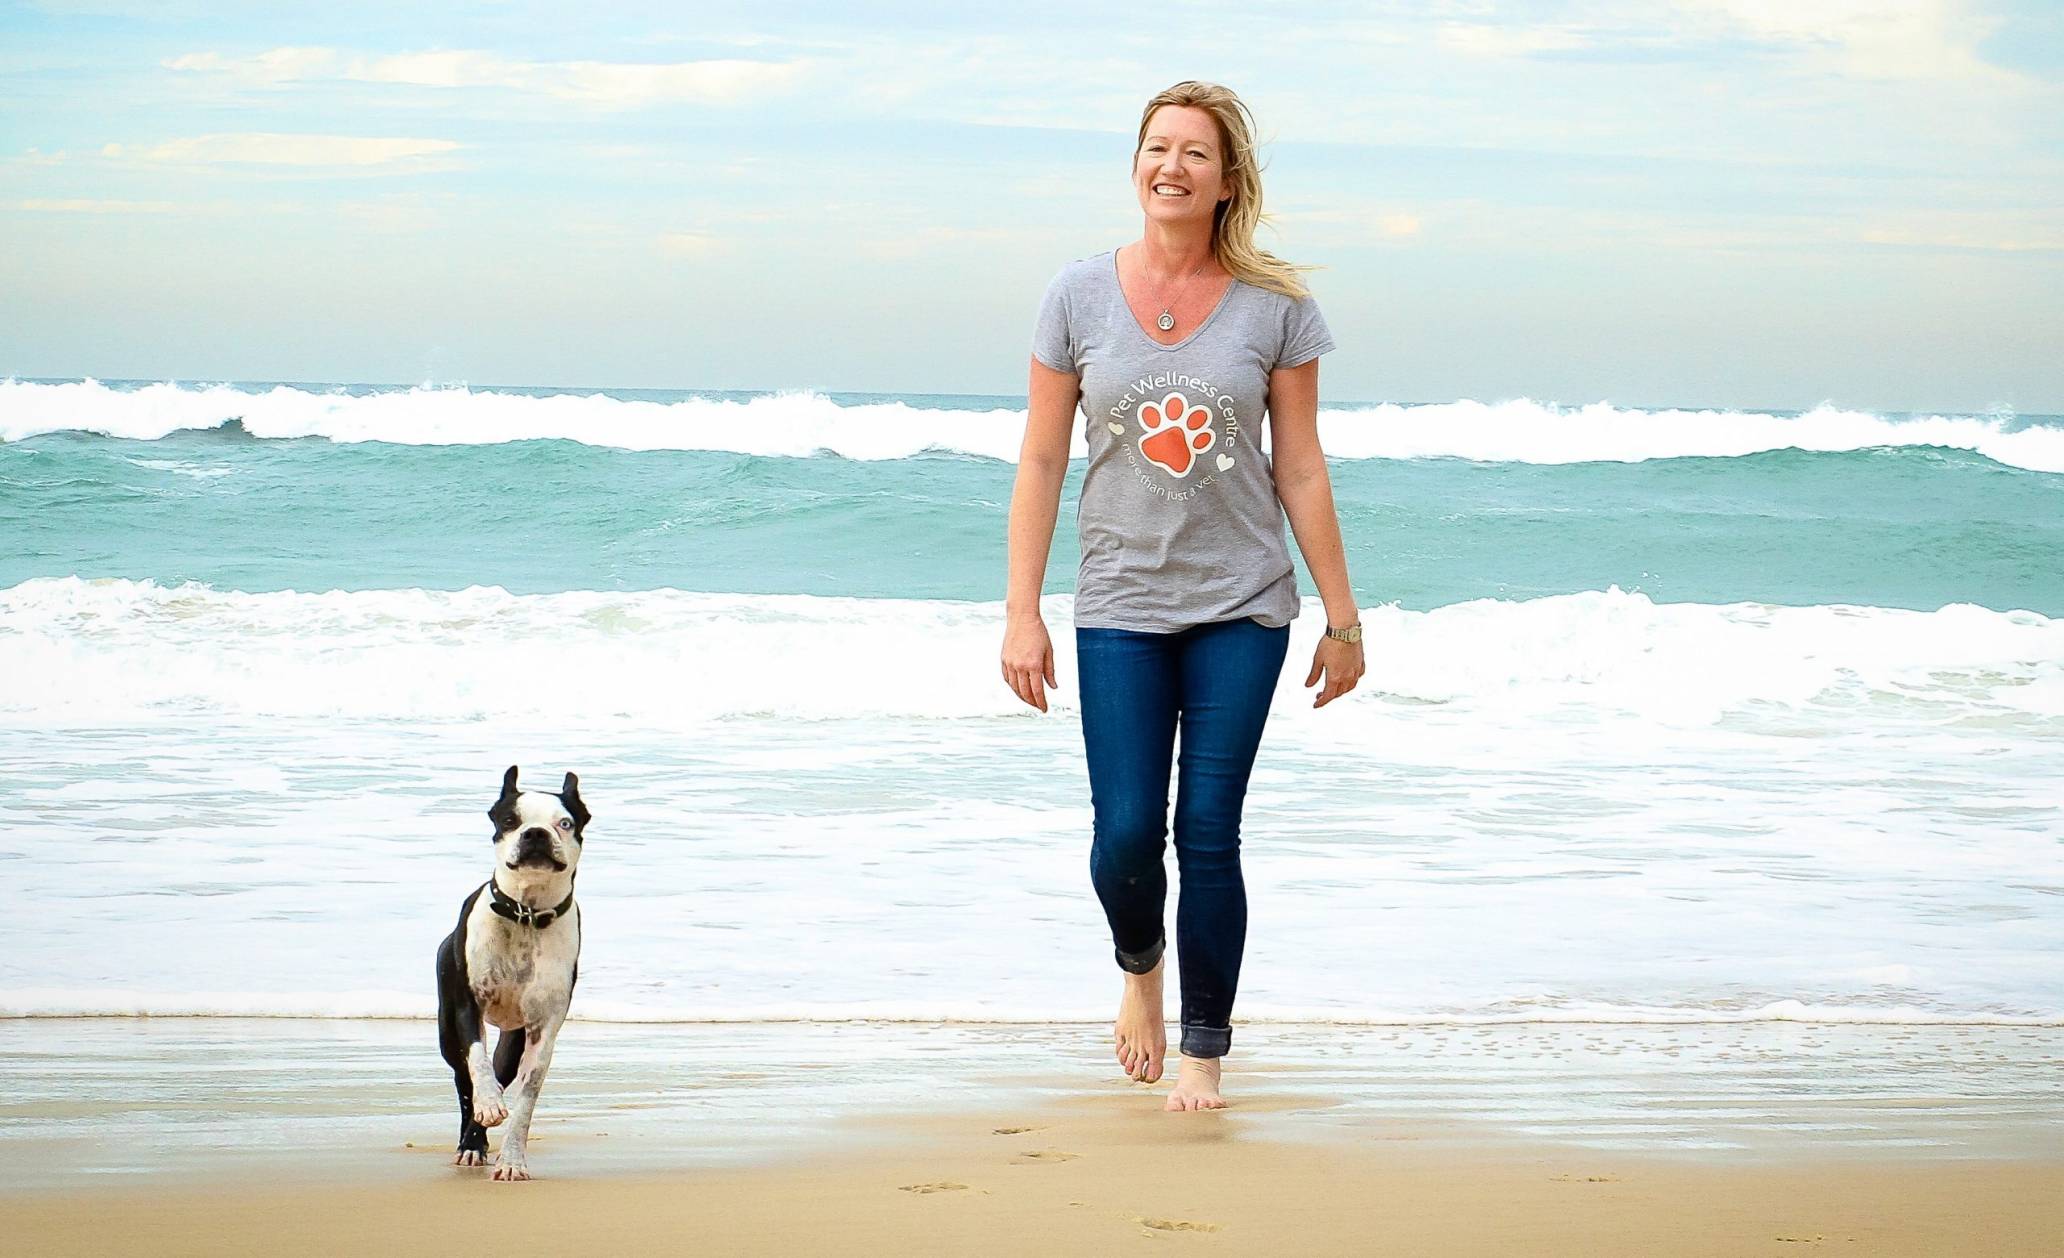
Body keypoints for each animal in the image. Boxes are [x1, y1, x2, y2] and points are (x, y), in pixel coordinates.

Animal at [435, 760, 590, 1181]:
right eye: (510, 820)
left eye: (565, 823)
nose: (535, 832)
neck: (526, 914)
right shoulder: (466, 1006)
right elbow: (477, 1060)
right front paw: (489, 1105)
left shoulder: (542, 1031)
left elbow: (526, 1100)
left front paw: (512, 1160)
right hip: (446, 1028)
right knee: (464, 1079)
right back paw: (471, 1141)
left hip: (514, 1037)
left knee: (499, 1069)